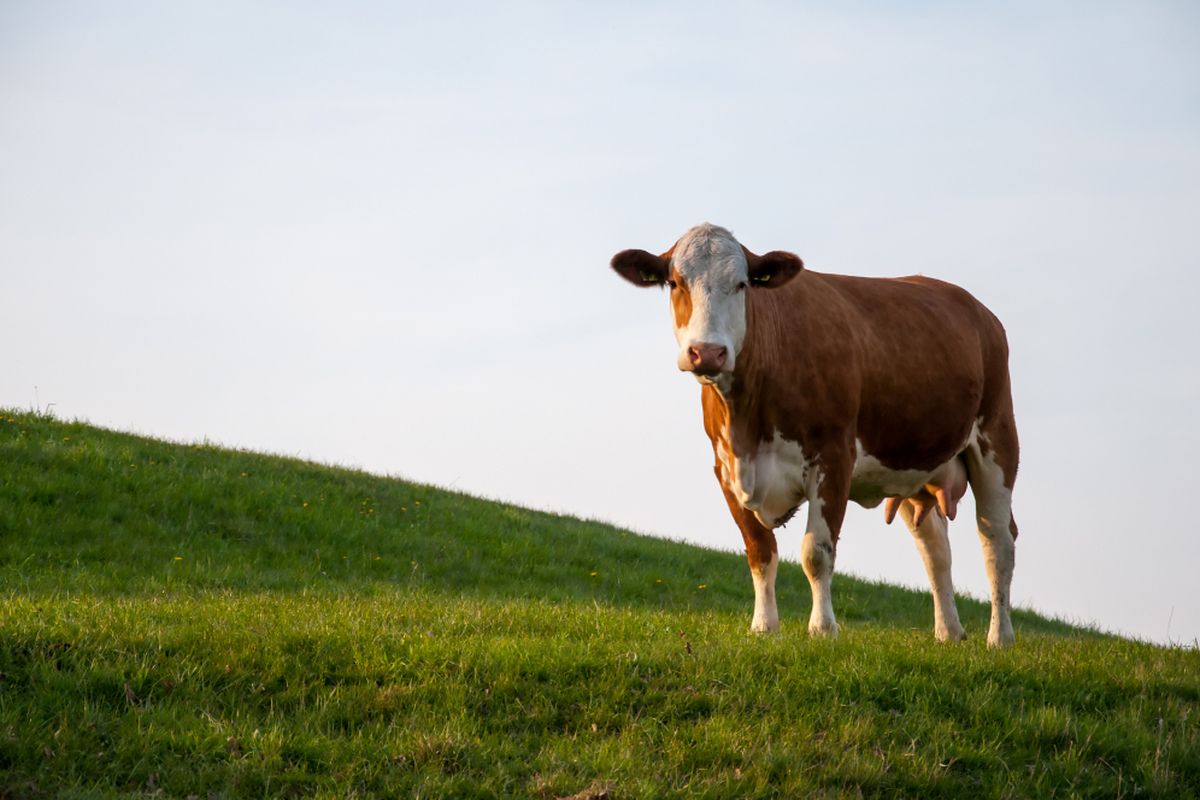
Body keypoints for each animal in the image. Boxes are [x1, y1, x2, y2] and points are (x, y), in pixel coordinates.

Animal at [614, 221, 1017, 647]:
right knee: (936, 549)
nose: (707, 352)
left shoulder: (834, 458)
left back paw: (1000, 637)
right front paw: (764, 626)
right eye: (675, 282)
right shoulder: (725, 469)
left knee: (998, 541)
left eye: (741, 284)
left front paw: (822, 627)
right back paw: (949, 632)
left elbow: (816, 552)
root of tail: (978, 310)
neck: (748, 423)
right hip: (912, 464)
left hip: (997, 439)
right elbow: (759, 550)